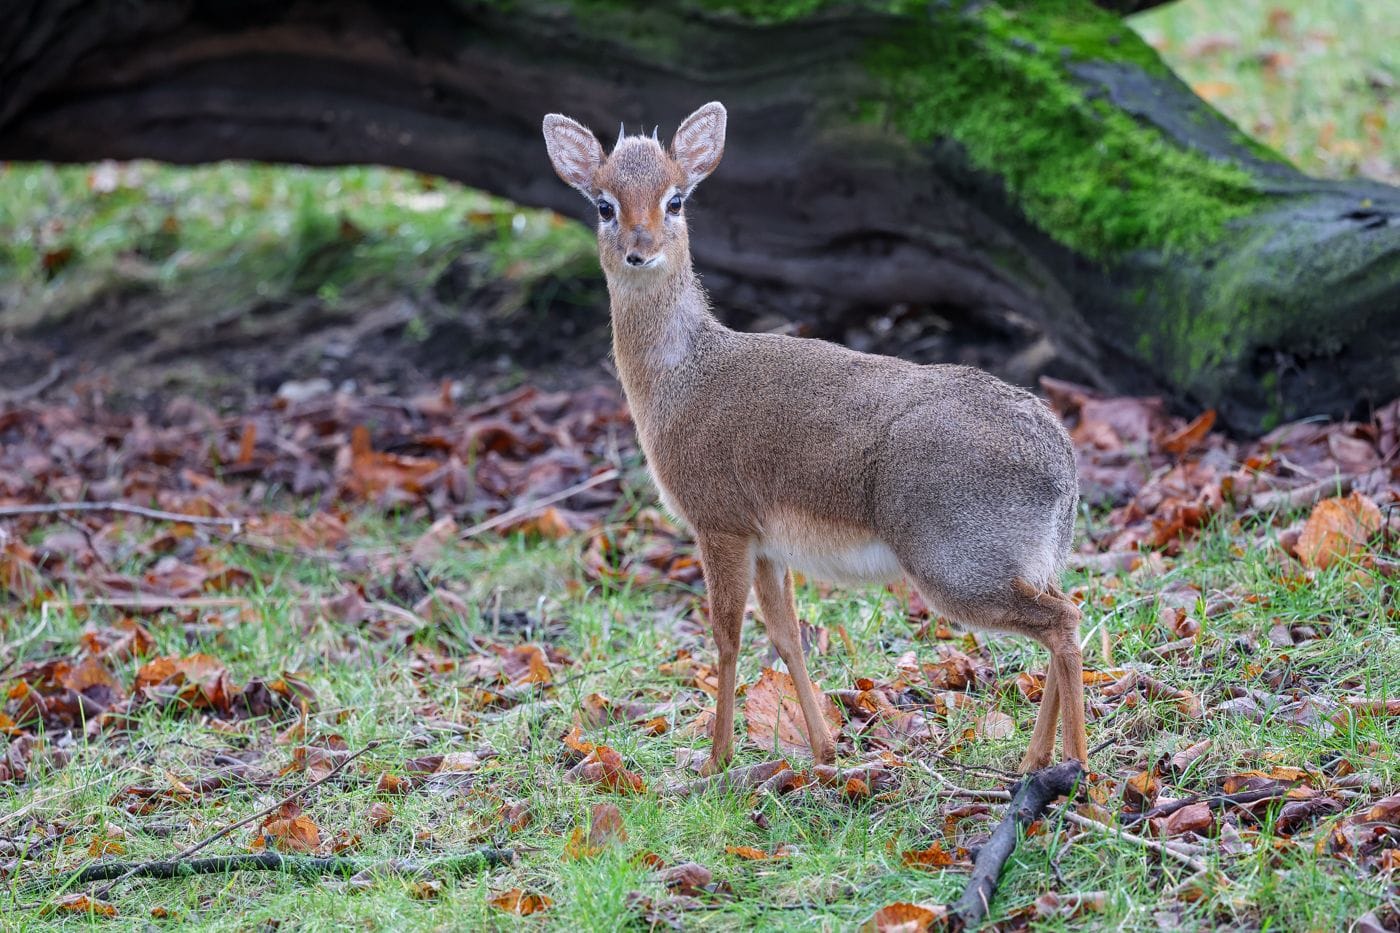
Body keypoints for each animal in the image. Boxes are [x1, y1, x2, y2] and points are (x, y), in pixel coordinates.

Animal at [540, 100, 1086, 767]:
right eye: (603, 204)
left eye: (675, 200)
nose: (639, 251)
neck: (680, 379)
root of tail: (1060, 463)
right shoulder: (768, 544)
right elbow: (787, 636)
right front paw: (825, 748)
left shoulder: (719, 522)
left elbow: (726, 636)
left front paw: (717, 759)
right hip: (1028, 560)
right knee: (1065, 614)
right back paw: (1037, 761)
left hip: (956, 564)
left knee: (1063, 622)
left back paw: (1076, 766)